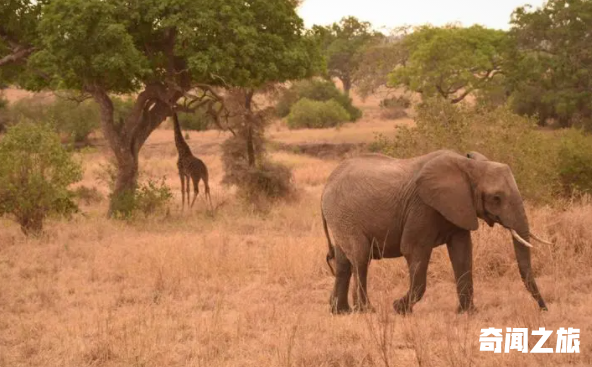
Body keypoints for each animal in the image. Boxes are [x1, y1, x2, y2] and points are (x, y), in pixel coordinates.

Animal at [322, 151, 552, 314]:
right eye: (496, 198)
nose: (544, 309)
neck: (468, 166)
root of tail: (328, 183)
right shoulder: (422, 207)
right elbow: (413, 250)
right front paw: (399, 308)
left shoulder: (460, 207)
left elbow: (462, 254)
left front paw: (467, 313)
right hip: (344, 214)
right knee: (361, 257)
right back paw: (366, 311)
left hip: (340, 217)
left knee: (344, 262)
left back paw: (340, 311)